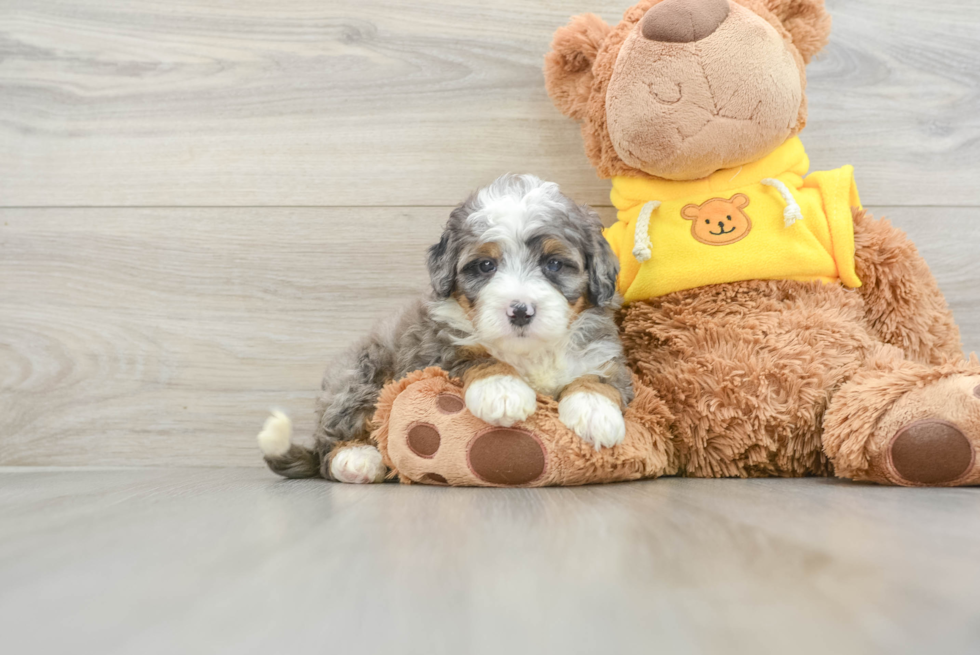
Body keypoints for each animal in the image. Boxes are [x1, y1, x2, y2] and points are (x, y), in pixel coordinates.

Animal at [256, 174, 636, 482]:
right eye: (485, 266)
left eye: (554, 264)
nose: (520, 311)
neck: (527, 350)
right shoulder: (434, 350)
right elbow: (475, 357)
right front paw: (503, 391)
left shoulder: (602, 352)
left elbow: (600, 378)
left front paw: (595, 413)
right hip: (357, 376)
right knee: (330, 446)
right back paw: (357, 460)